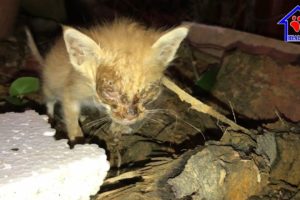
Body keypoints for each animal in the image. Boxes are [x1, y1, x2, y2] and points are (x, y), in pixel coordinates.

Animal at [42, 18, 188, 141]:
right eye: (110, 91)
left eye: (145, 92)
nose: (131, 115)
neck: (93, 97)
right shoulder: (70, 92)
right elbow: (72, 120)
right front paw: (77, 142)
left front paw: (117, 127)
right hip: (50, 86)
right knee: (49, 100)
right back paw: (49, 118)